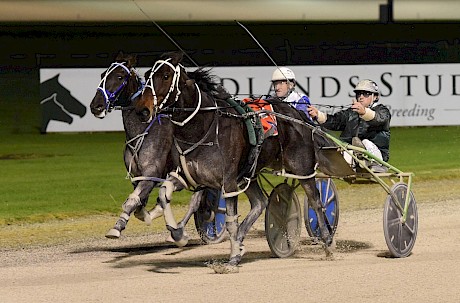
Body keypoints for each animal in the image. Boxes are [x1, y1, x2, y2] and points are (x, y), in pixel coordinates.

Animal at [135, 51, 332, 274]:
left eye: (166, 76)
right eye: (147, 75)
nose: (142, 110)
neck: (203, 127)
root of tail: (297, 114)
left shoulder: (228, 182)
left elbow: (230, 222)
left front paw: (232, 259)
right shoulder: (189, 176)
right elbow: (163, 193)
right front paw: (178, 234)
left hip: (303, 168)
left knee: (316, 201)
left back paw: (327, 243)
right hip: (249, 173)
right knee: (260, 203)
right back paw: (240, 241)